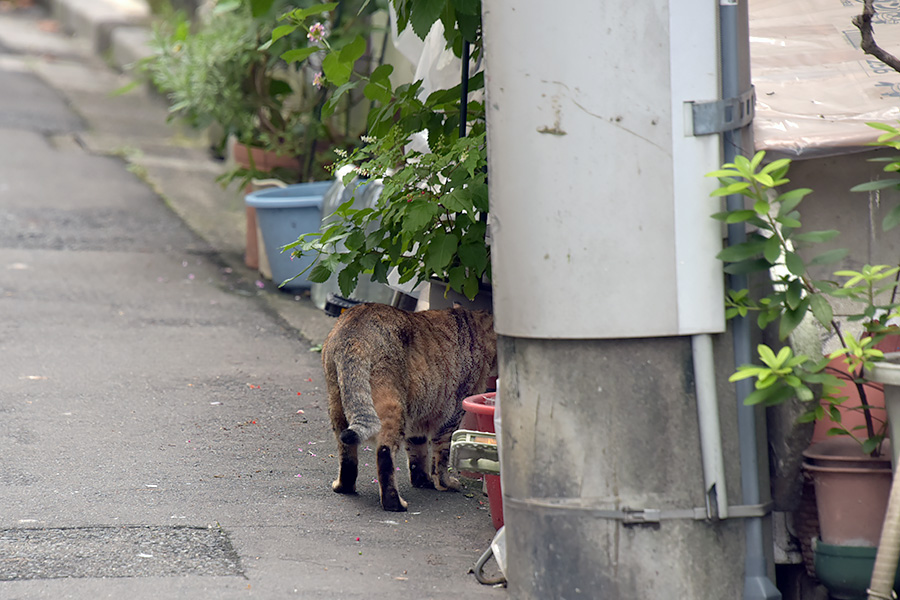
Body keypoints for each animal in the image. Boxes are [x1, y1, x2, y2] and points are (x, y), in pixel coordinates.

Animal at [320, 304, 496, 510]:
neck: (473, 326)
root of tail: (354, 328)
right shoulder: (451, 417)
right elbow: (441, 457)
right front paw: (444, 483)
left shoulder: (418, 417)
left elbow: (418, 454)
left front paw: (423, 481)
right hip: (394, 408)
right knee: (385, 452)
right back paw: (395, 503)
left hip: (338, 405)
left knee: (347, 451)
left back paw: (343, 487)